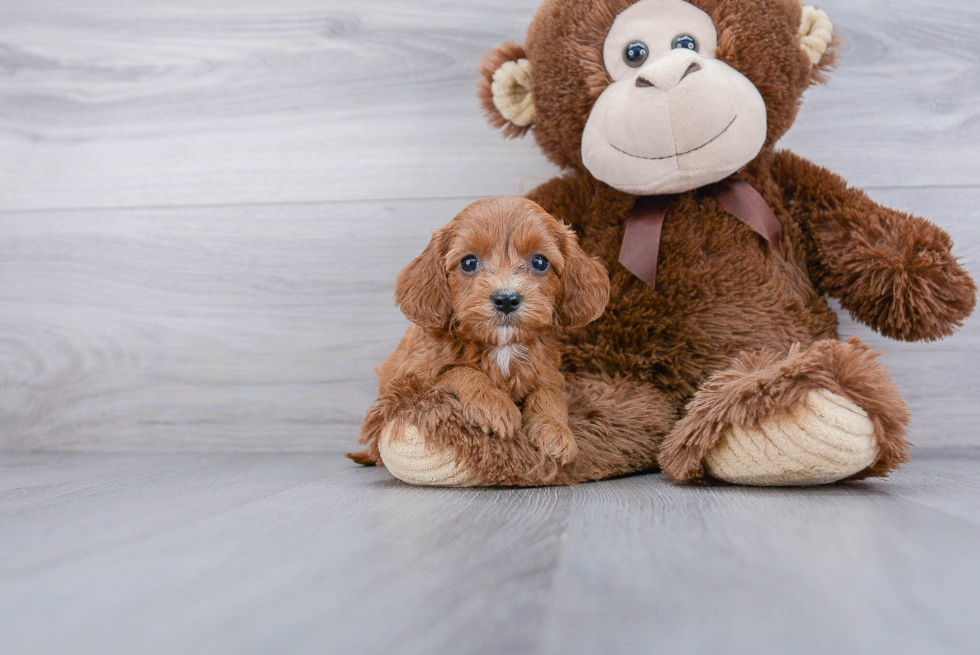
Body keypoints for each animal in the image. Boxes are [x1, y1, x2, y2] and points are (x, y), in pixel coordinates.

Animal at [348, 197, 608, 468]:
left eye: (540, 262)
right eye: (469, 262)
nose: (506, 299)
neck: (501, 346)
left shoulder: (548, 374)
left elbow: (550, 395)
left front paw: (556, 431)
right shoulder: (414, 378)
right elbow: (457, 370)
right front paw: (493, 403)